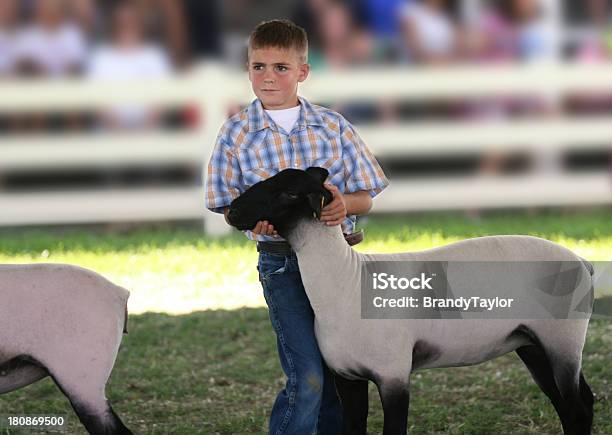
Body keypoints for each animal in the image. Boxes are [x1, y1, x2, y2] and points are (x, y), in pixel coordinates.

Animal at [226, 168, 592, 435]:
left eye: (286, 193)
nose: (231, 211)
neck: (346, 283)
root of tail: (583, 262)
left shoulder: (394, 375)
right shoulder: (348, 377)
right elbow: (353, 428)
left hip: (563, 338)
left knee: (577, 406)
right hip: (531, 343)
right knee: (575, 402)